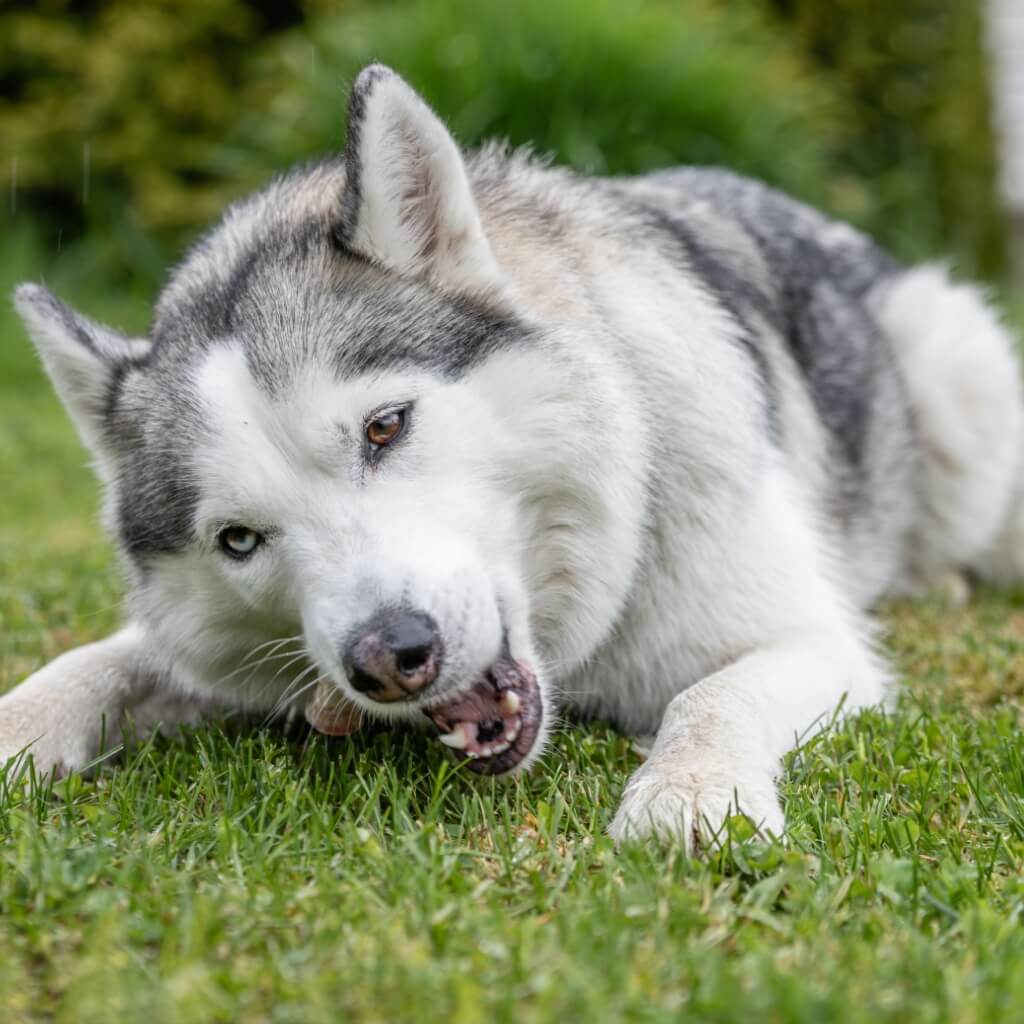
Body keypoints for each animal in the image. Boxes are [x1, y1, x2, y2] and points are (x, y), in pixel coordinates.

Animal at [2, 66, 1024, 847]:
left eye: (385, 427)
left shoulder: (812, 643)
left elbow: (710, 698)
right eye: (240, 541)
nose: (389, 658)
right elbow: (92, 662)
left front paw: (687, 797)